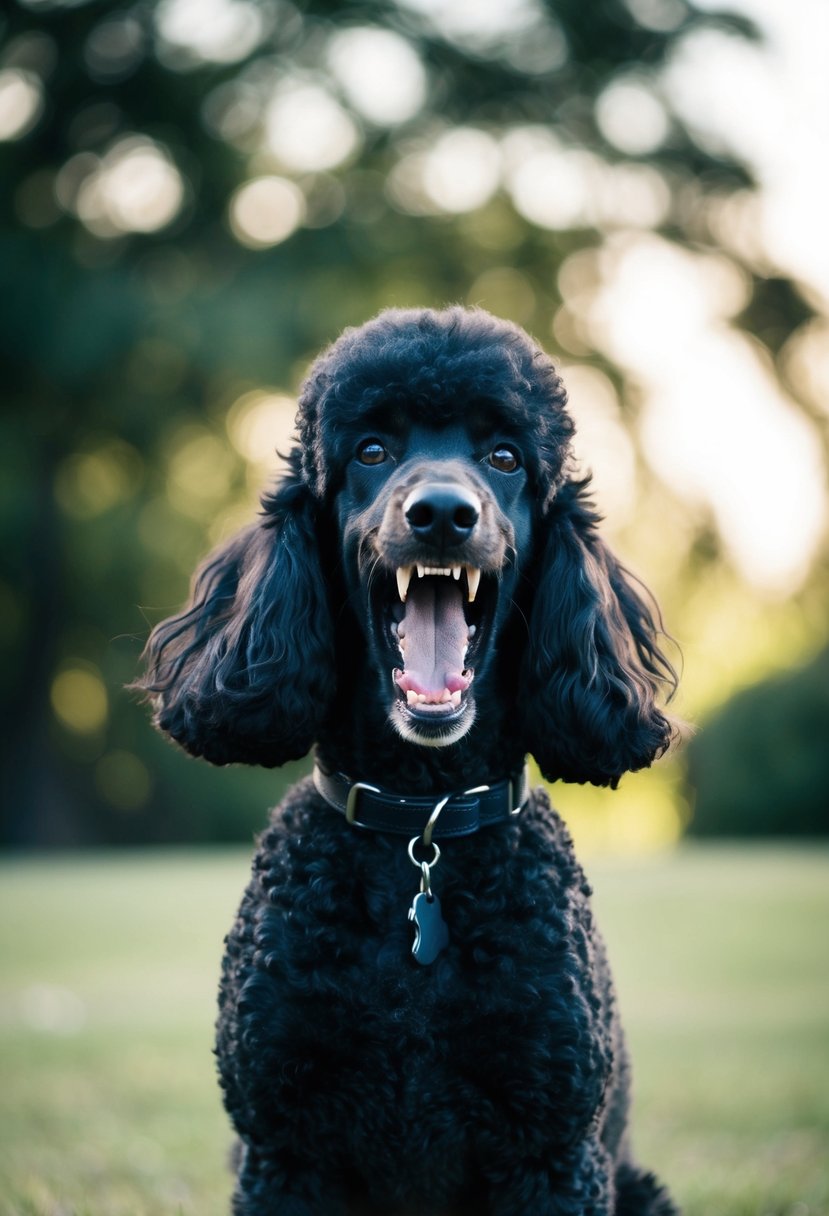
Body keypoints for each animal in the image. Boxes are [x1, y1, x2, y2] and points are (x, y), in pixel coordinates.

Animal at [137, 308, 675, 1211]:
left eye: (505, 458)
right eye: (370, 451)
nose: (443, 513)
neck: (420, 821)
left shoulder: (551, 1153)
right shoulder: (284, 1151)